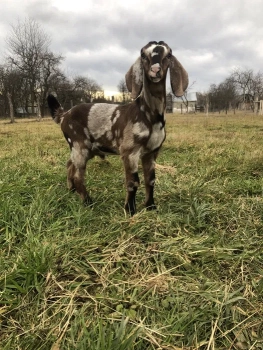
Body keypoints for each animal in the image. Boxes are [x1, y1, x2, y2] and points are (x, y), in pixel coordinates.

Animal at [47, 41, 188, 216]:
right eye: (143, 55)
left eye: (168, 54)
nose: (155, 70)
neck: (148, 114)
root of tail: (64, 115)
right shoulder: (129, 151)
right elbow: (133, 182)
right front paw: (130, 210)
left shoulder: (152, 152)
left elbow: (151, 180)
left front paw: (150, 206)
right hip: (79, 144)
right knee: (79, 175)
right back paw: (88, 202)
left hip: (85, 149)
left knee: (69, 164)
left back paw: (71, 190)